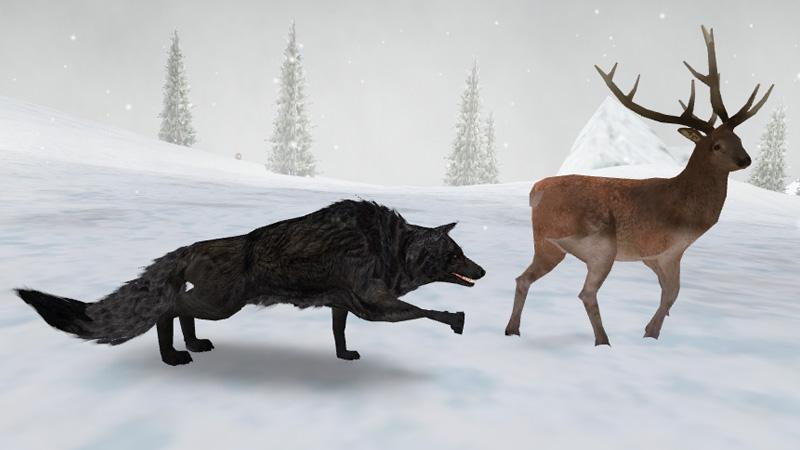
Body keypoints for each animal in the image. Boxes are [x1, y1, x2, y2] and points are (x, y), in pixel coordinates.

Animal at [16, 200, 485, 366]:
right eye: (456, 254)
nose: (481, 271)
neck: (393, 246)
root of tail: (190, 247)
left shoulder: (345, 302)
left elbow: (339, 331)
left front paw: (343, 354)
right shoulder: (372, 302)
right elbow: (423, 311)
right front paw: (456, 318)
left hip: (216, 303)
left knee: (178, 308)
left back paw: (192, 345)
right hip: (221, 304)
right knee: (170, 307)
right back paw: (173, 355)